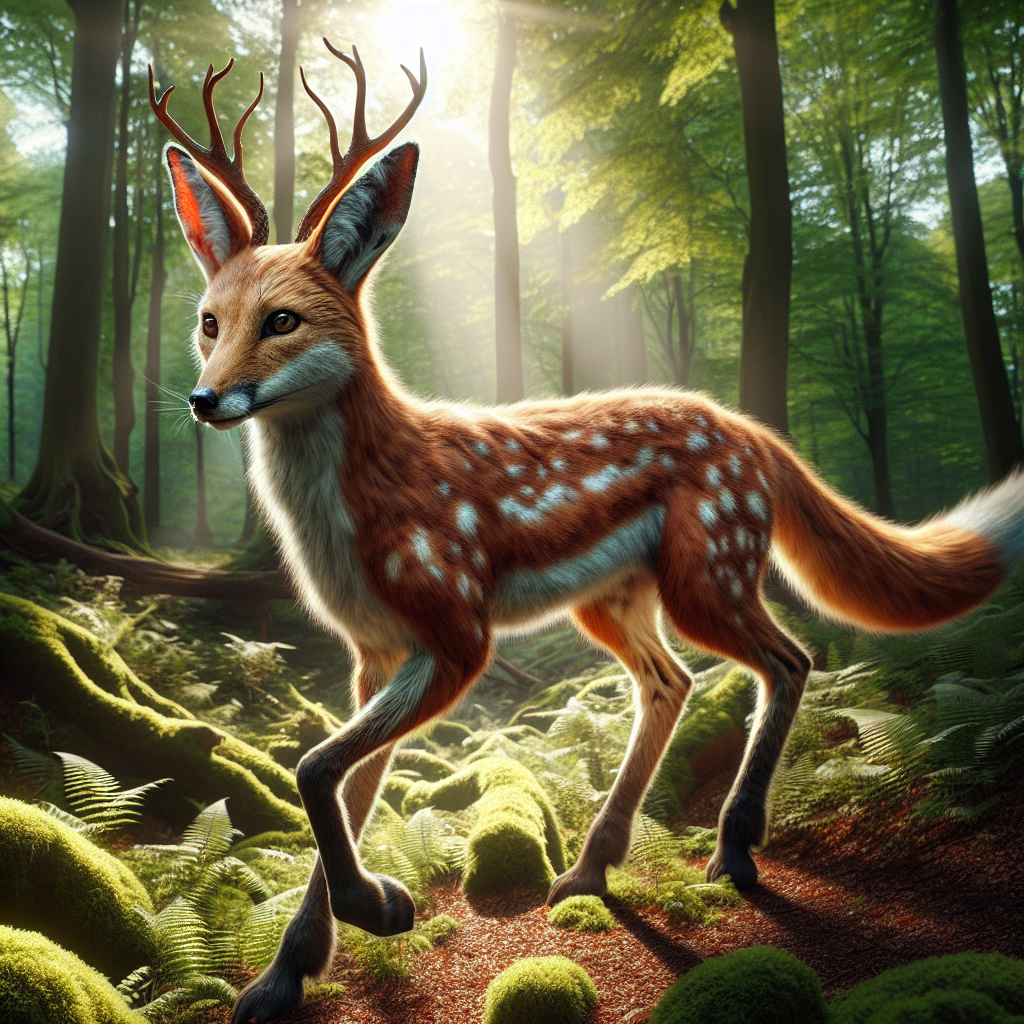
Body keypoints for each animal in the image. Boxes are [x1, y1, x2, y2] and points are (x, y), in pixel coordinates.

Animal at [150, 40, 1024, 1023]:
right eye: (209, 323)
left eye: (283, 321)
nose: (205, 399)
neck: (362, 514)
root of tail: (749, 430)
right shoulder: (372, 655)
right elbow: (337, 781)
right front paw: (286, 974)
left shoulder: (458, 636)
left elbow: (311, 769)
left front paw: (376, 910)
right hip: (612, 604)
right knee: (674, 684)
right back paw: (588, 870)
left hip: (706, 578)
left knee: (789, 661)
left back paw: (732, 849)